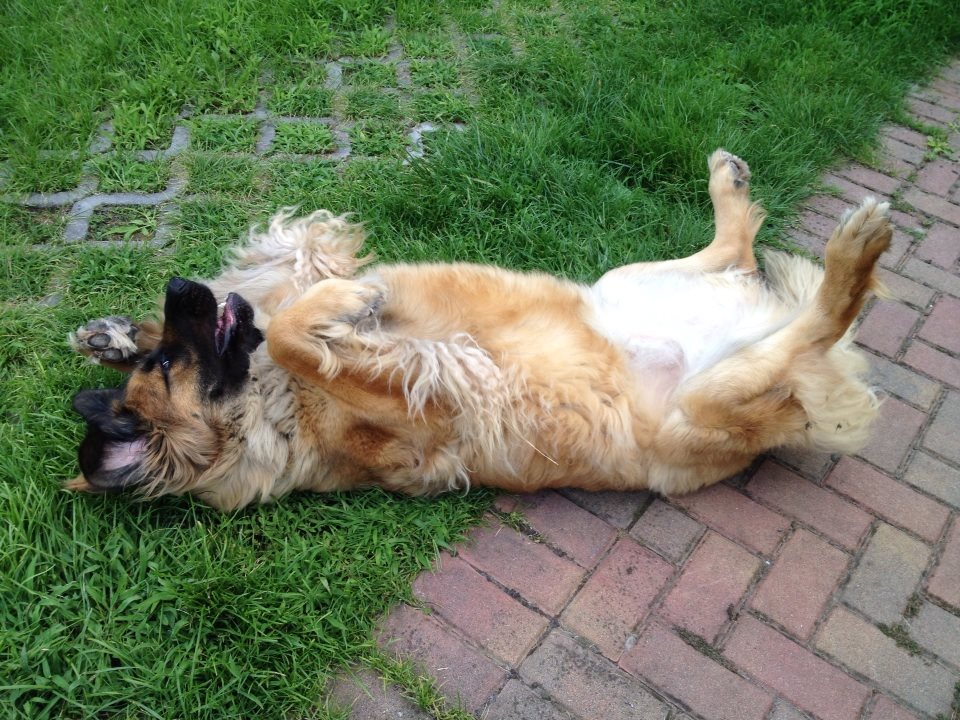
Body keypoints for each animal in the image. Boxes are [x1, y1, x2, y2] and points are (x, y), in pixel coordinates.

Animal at [66, 150, 890, 511]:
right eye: (171, 365)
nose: (181, 287)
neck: (269, 410)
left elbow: (289, 296)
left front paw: (114, 333)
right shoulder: (426, 402)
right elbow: (303, 335)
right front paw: (344, 304)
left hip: (620, 282)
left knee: (737, 252)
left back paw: (733, 187)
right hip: (704, 405)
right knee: (812, 324)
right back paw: (854, 253)